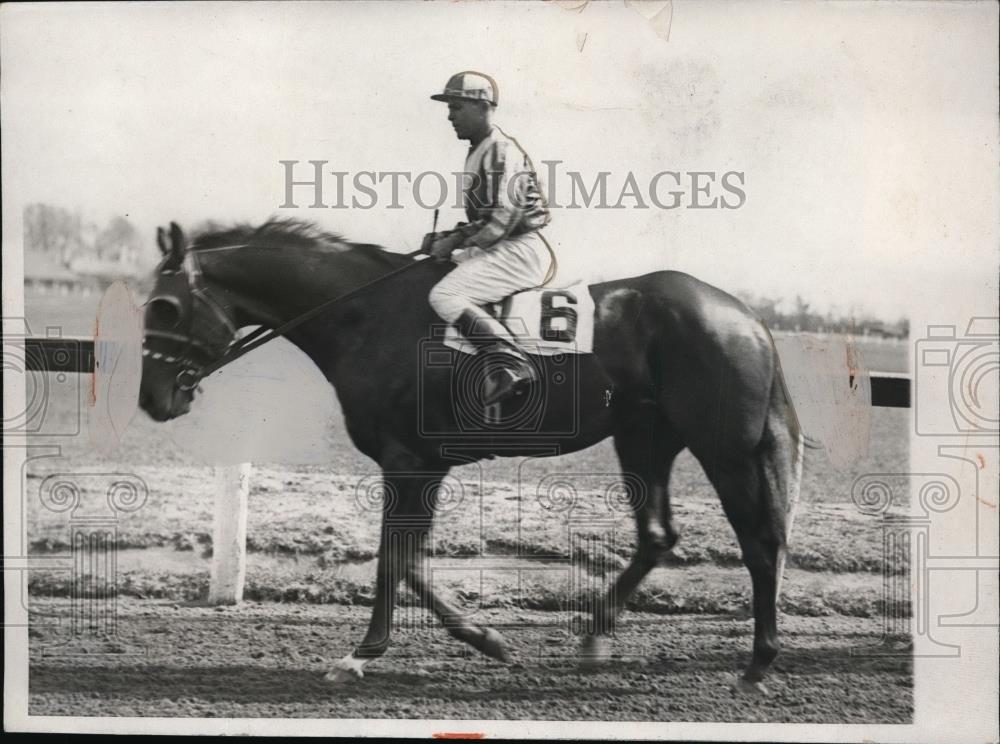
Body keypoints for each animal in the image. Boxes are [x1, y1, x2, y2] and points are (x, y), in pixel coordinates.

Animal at [139, 218, 804, 696]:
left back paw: (756, 663)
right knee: (659, 535)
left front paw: (365, 655)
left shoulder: (409, 461)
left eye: (164, 307)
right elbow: (407, 559)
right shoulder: (420, 465)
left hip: (724, 448)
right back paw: (595, 637)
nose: (151, 400)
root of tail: (745, 316)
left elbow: (396, 558)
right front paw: (478, 640)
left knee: (760, 543)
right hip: (644, 438)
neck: (369, 317)